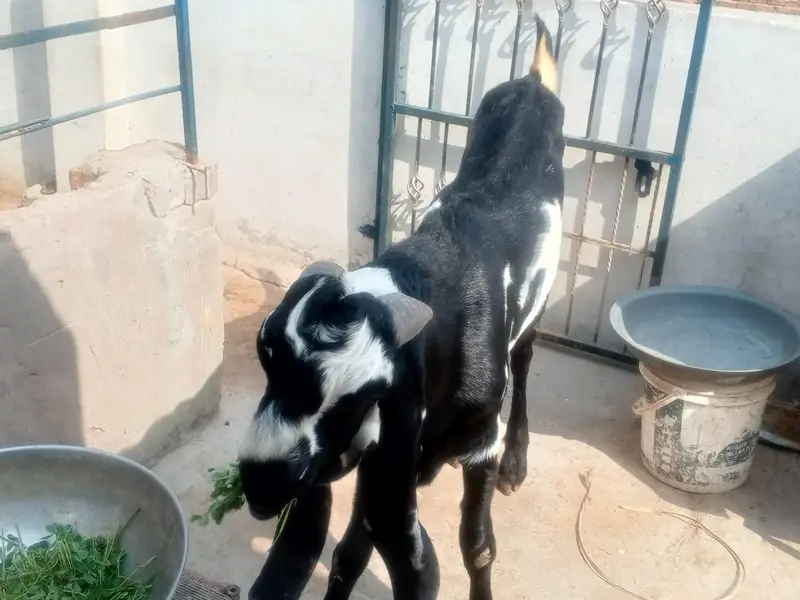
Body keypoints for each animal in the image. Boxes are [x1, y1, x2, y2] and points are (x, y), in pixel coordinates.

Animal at [239, 17, 564, 600]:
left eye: (361, 394)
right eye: (265, 359)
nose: (262, 483)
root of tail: (531, 83)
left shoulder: (476, 439)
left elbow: (478, 547)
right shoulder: (385, 454)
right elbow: (351, 549)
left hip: (537, 311)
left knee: (526, 358)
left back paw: (518, 461)